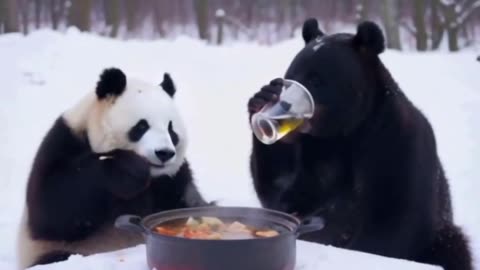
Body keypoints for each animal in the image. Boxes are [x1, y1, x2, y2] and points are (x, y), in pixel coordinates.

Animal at [16, 68, 209, 270]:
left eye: (171, 130)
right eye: (142, 126)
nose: (164, 153)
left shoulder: (174, 177)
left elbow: (186, 202)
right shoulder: (62, 142)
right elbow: (54, 210)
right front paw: (130, 171)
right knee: (55, 256)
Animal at [248, 19, 472, 270]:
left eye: (317, 79)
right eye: (290, 76)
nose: (286, 105)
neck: (346, 132)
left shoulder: (395, 148)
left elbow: (395, 220)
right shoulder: (316, 155)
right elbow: (282, 192)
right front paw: (262, 99)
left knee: (454, 245)